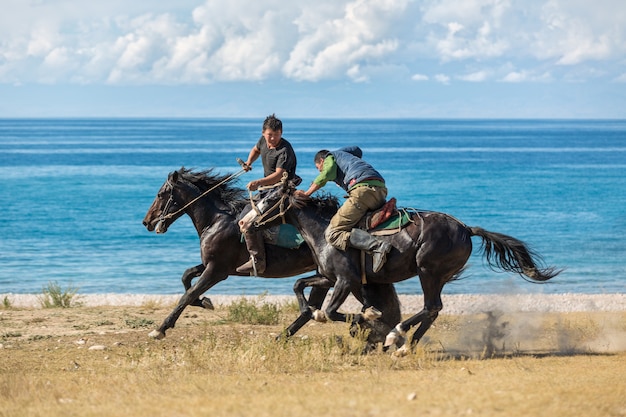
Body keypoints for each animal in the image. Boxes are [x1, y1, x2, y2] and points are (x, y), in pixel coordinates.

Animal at [141, 167, 400, 342]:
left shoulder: (217, 270)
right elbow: (187, 278)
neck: (217, 220)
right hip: (326, 274)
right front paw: (205, 302)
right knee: (315, 307)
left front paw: (160, 329)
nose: (147, 222)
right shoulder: (213, 266)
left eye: (162, 194)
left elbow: (188, 294)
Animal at [240, 184, 560, 350]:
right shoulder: (328, 277)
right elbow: (300, 286)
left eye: (269, 199)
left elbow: (332, 312)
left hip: (428, 271)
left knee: (431, 306)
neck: (325, 230)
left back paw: (397, 336)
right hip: (435, 275)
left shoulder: (345, 280)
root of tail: (466, 229)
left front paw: (366, 320)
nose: (244, 222)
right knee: (433, 310)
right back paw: (405, 345)